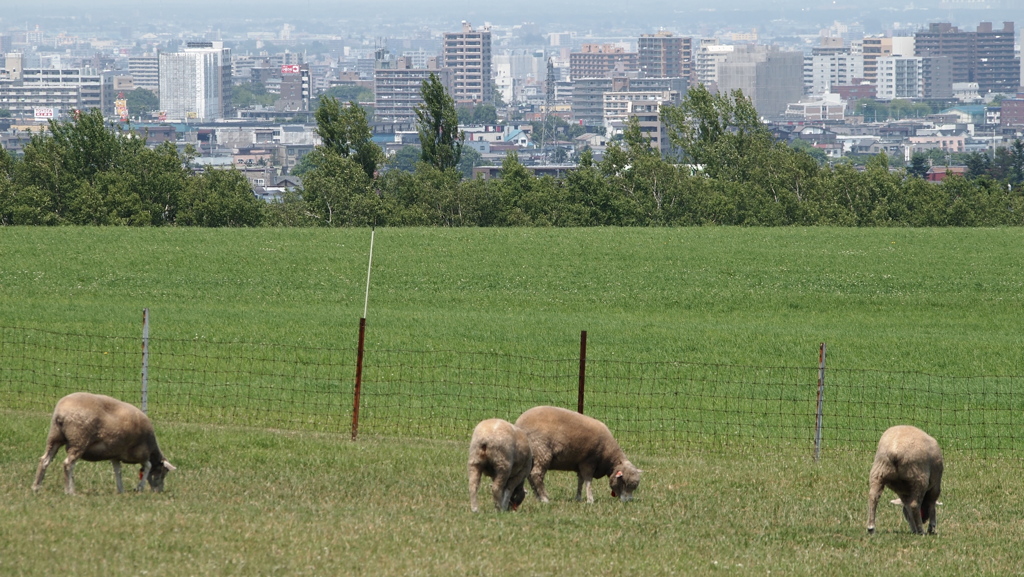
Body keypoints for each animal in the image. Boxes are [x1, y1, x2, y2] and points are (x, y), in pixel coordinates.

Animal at [30, 393, 176, 496]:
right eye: (162, 473)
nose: (158, 491)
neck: (151, 448)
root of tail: (61, 414)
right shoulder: (139, 453)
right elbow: (148, 466)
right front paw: (139, 487)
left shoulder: (116, 454)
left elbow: (118, 471)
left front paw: (121, 490)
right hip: (79, 439)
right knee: (68, 464)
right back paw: (69, 491)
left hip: (55, 437)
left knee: (45, 460)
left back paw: (36, 487)